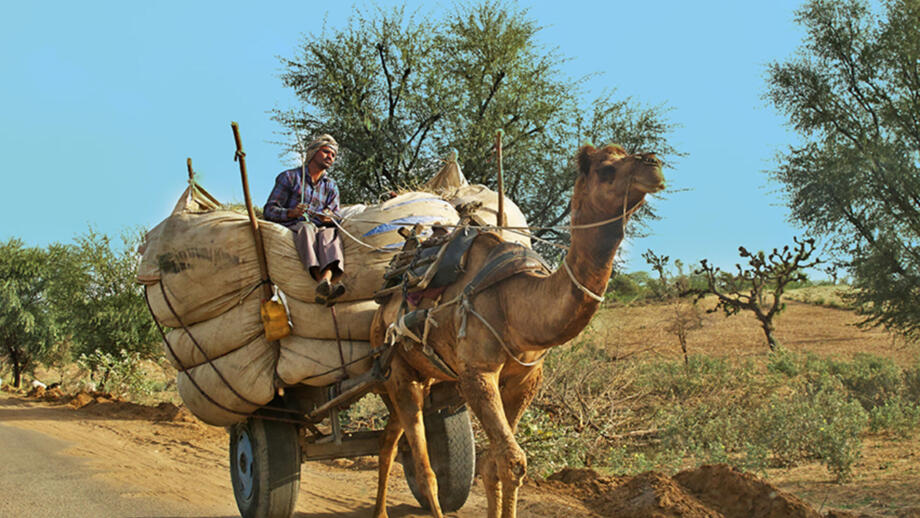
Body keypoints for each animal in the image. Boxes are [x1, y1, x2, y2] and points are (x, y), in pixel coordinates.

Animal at [369, 143, 666, 518]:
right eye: (606, 169)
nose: (654, 164)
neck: (516, 304)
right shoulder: (477, 373)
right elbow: (513, 461)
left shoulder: (525, 379)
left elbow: (493, 463)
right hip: (396, 370)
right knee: (423, 468)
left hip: (420, 375)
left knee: (390, 440)